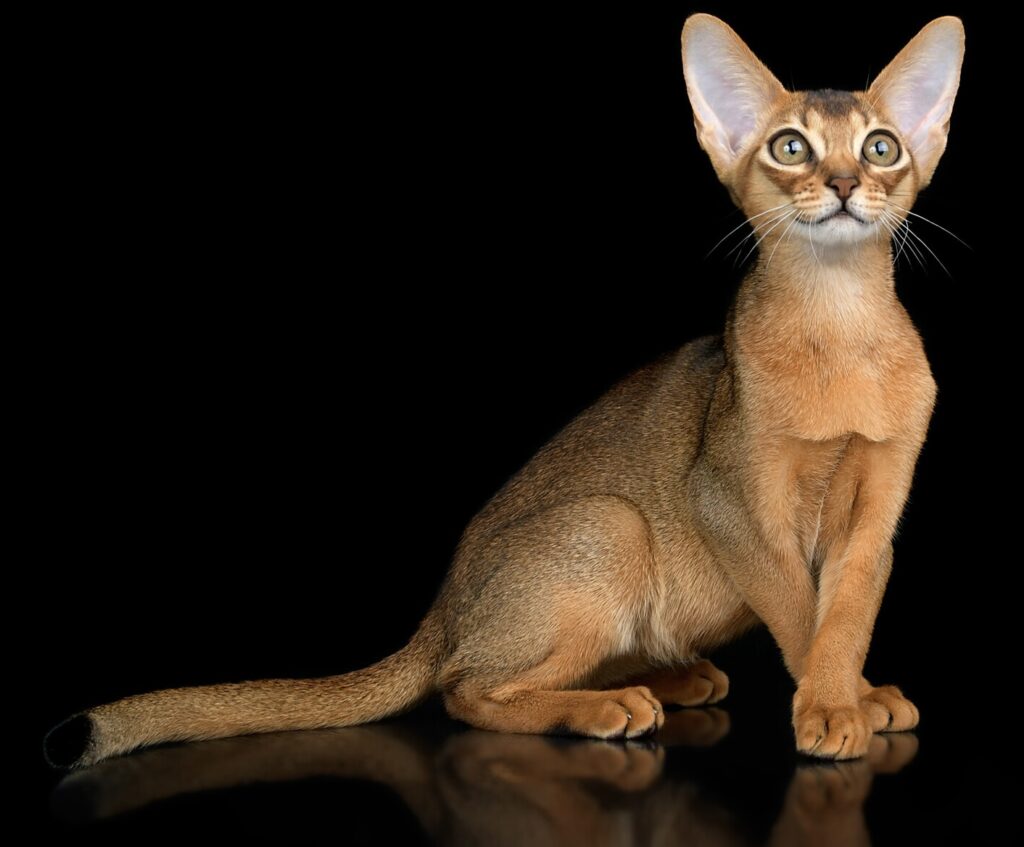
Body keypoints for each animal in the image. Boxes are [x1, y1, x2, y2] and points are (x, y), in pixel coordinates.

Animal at [45, 14, 963, 766]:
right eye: (791, 147)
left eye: (881, 147)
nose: (843, 184)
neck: (840, 333)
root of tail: (443, 611)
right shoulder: (734, 500)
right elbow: (801, 613)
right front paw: (831, 709)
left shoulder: (877, 511)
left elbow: (843, 613)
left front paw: (852, 694)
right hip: (611, 526)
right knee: (465, 689)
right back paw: (609, 707)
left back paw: (673, 678)